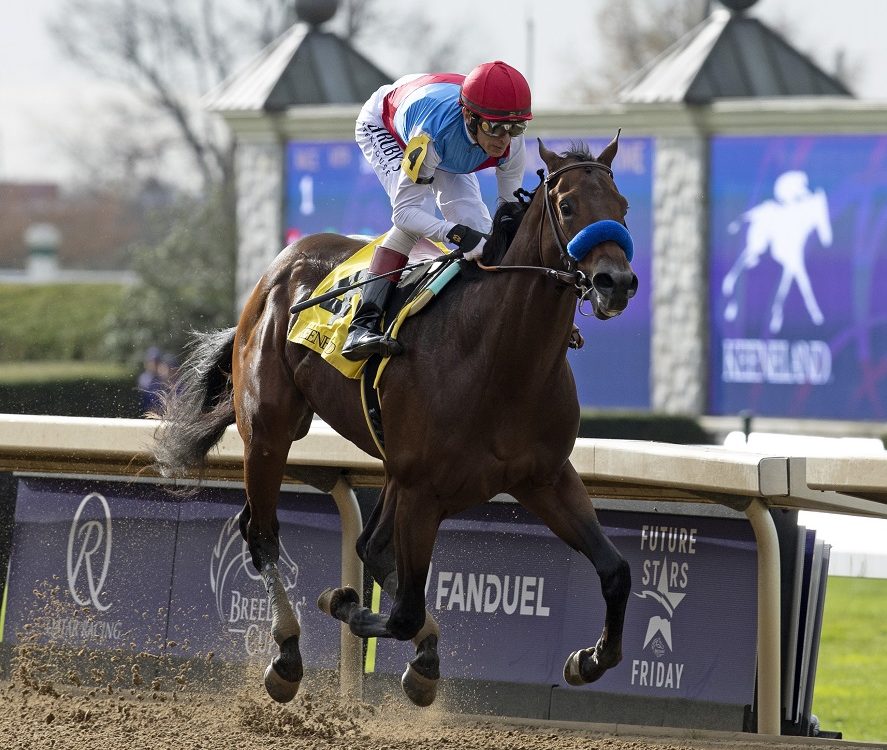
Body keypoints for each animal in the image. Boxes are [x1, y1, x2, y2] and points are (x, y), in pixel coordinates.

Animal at [153, 137, 640, 712]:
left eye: (622, 207)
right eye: (567, 206)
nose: (616, 283)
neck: (501, 357)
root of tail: (280, 267)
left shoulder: (544, 477)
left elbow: (615, 571)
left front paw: (589, 659)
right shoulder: (421, 487)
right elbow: (401, 609)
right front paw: (344, 601)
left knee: (361, 545)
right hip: (270, 433)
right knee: (263, 532)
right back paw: (288, 656)